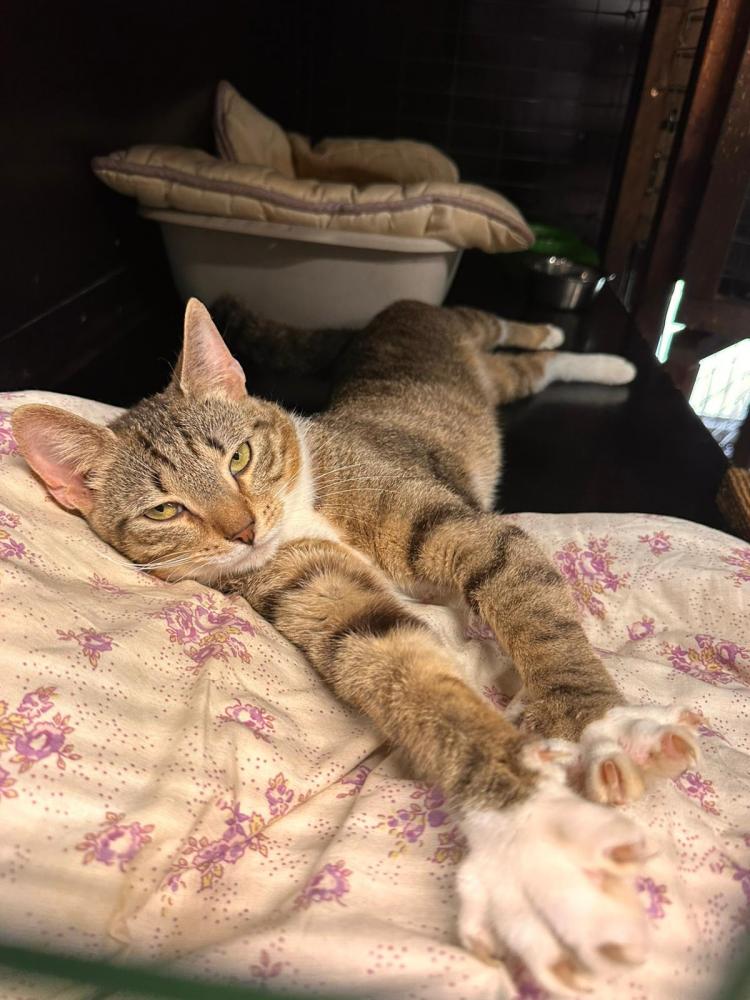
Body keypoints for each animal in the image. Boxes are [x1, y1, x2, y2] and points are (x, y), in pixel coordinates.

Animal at [12, 298, 701, 995]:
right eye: (164, 511)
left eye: (239, 457)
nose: (244, 530)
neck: (300, 511)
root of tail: (389, 312)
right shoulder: (309, 586)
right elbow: (391, 656)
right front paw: (525, 835)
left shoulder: (446, 519)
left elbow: (523, 594)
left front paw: (595, 726)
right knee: (519, 372)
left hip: (459, 339)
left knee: (512, 340)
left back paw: (592, 351)